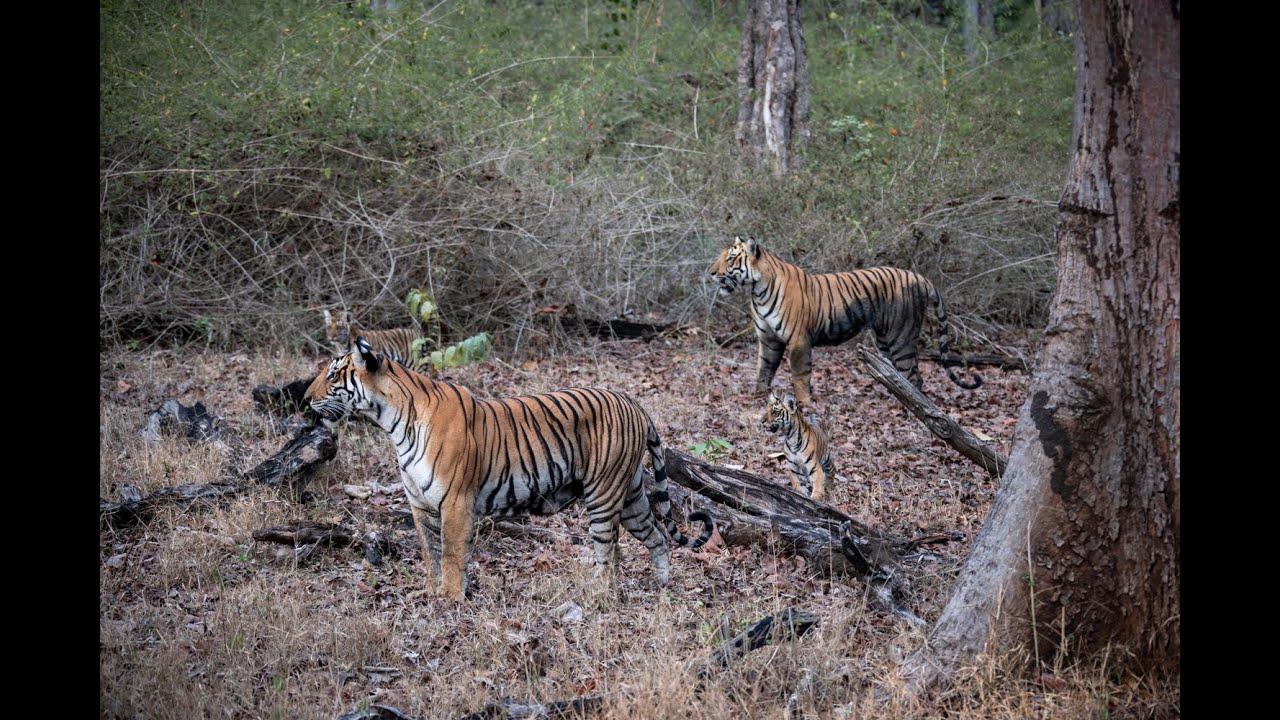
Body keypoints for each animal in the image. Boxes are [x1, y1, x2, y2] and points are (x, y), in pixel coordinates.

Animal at [305, 337, 715, 601]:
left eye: (332, 375)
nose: (305, 399)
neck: (392, 421)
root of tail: (635, 403)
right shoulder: (420, 504)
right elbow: (429, 552)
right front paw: (431, 591)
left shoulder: (455, 501)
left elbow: (451, 554)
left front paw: (449, 599)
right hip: (630, 495)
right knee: (657, 536)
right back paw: (660, 588)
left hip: (604, 494)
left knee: (609, 554)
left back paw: (595, 593)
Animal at [709, 235, 982, 405]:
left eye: (730, 258)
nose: (710, 273)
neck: (757, 291)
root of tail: (920, 277)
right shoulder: (768, 340)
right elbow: (763, 370)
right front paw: (758, 398)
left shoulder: (798, 340)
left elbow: (799, 375)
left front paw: (804, 404)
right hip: (884, 339)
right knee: (901, 376)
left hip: (901, 336)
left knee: (914, 377)